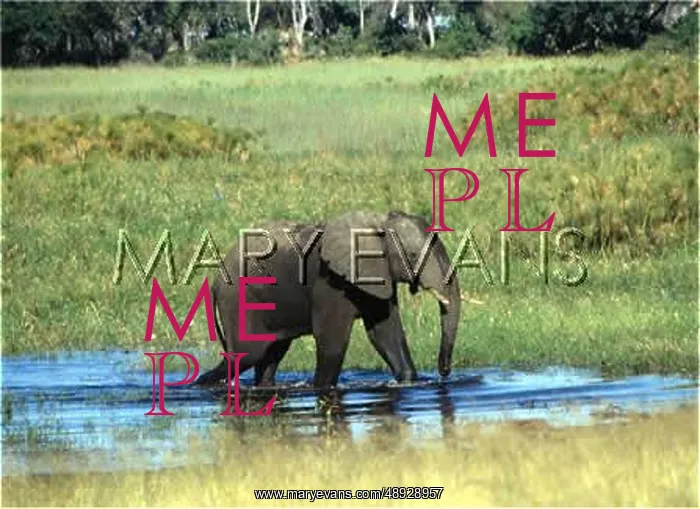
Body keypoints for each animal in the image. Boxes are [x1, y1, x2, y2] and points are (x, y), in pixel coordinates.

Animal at [195, 210, 461, 389]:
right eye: (413, 255)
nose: (444, 371)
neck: (376, 223)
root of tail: (216, 280)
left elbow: (385, 333)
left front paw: (408, 382)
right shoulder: (329, 282)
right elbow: (332, 341)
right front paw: (321, 388)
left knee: (271, 354)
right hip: (238, 300)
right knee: (249, 353)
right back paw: (203, 384)